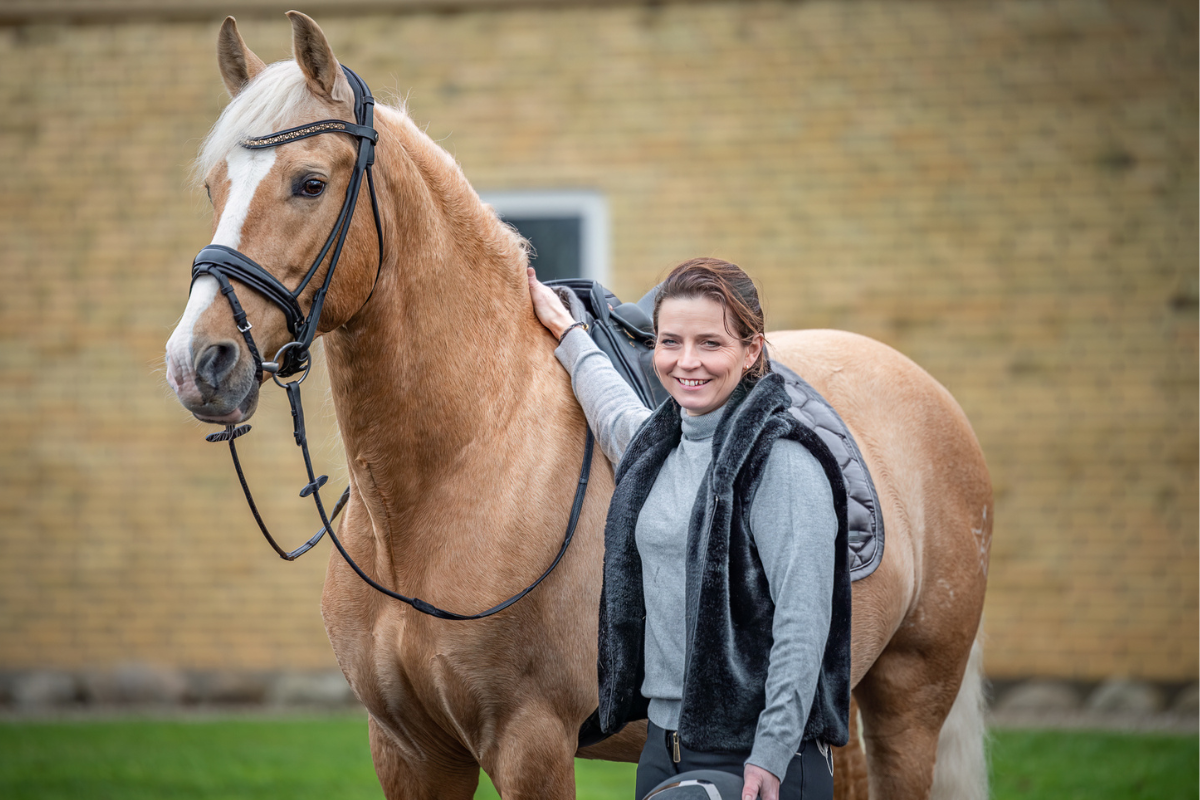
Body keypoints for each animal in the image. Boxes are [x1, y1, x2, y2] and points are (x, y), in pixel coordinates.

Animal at [169, 14, 993, 800]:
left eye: (310, 183)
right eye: (214, 187)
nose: (198, 363)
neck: (464, 462)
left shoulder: (530, 742)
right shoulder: (409, 753)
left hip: (908, 701)